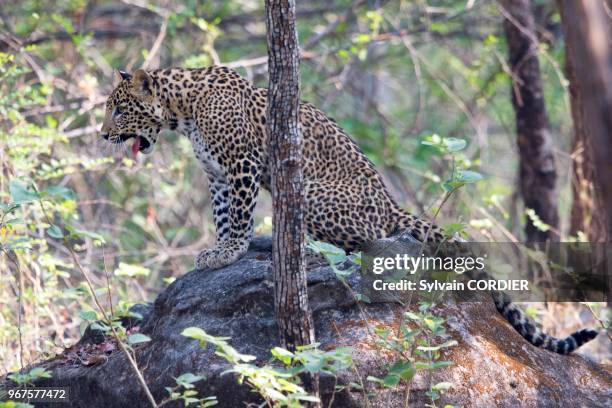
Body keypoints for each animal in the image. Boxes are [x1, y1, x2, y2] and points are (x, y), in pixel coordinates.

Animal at [100, 66, 596, 354]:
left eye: (120, 110)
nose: (103, 135)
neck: (182, 109)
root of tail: (392, 204)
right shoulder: (219, 175)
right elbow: (223, 215)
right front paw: (219, 250)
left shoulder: (241, 165)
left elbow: (237, 215)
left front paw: (230, 251)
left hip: (314, 191)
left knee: (367, 242)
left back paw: (297, 245)